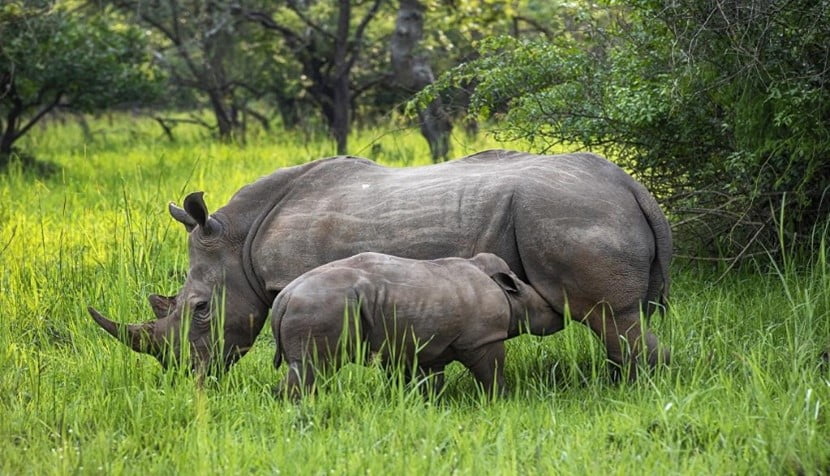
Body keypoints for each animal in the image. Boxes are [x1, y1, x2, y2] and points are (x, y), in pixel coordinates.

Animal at [89, 147, 676, 378]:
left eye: (202, 309)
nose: (188, 375)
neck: (237, 236)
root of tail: (633, 187)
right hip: (580, 207)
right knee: (620, 319)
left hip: (568, 211)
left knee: (610, 318)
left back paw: (627, 389)